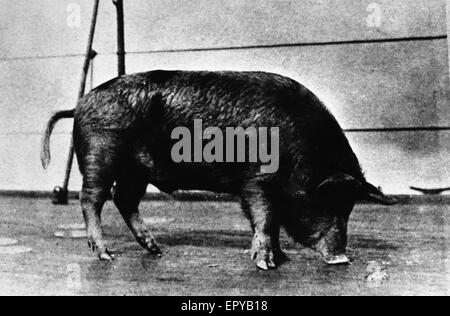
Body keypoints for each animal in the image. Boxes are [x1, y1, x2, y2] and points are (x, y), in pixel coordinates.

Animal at [40, 70, 396, 270]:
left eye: (349, 207)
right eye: (326, 200)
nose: (342, 258)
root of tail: (80, 104)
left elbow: (272, 221)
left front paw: (282, 258)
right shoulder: (256, 181)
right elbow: (265, 218)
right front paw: (266, 265)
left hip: (135, 171)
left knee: (124, 200)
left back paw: (156, 250)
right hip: (100, 155)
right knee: (91, 199)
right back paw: (106, 255)